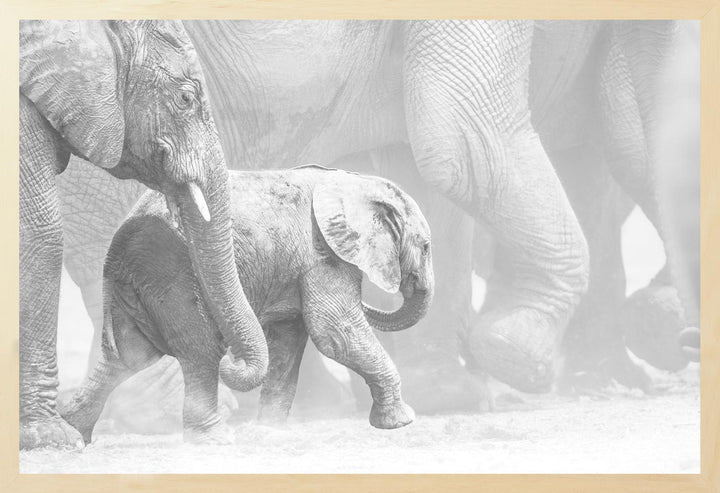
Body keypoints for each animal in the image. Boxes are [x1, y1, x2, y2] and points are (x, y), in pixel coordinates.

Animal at [61, 166, 433, 443]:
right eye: (427, 246)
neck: (356, 182)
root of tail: (118, 245)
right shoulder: (322, 255)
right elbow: (334, 332)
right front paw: (402, 421)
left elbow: (288, 342)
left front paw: (269, 430)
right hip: (173, 271)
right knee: (201, 351)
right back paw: (214, 439)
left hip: (138, 285)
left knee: (126, 358)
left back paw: (73, 434)